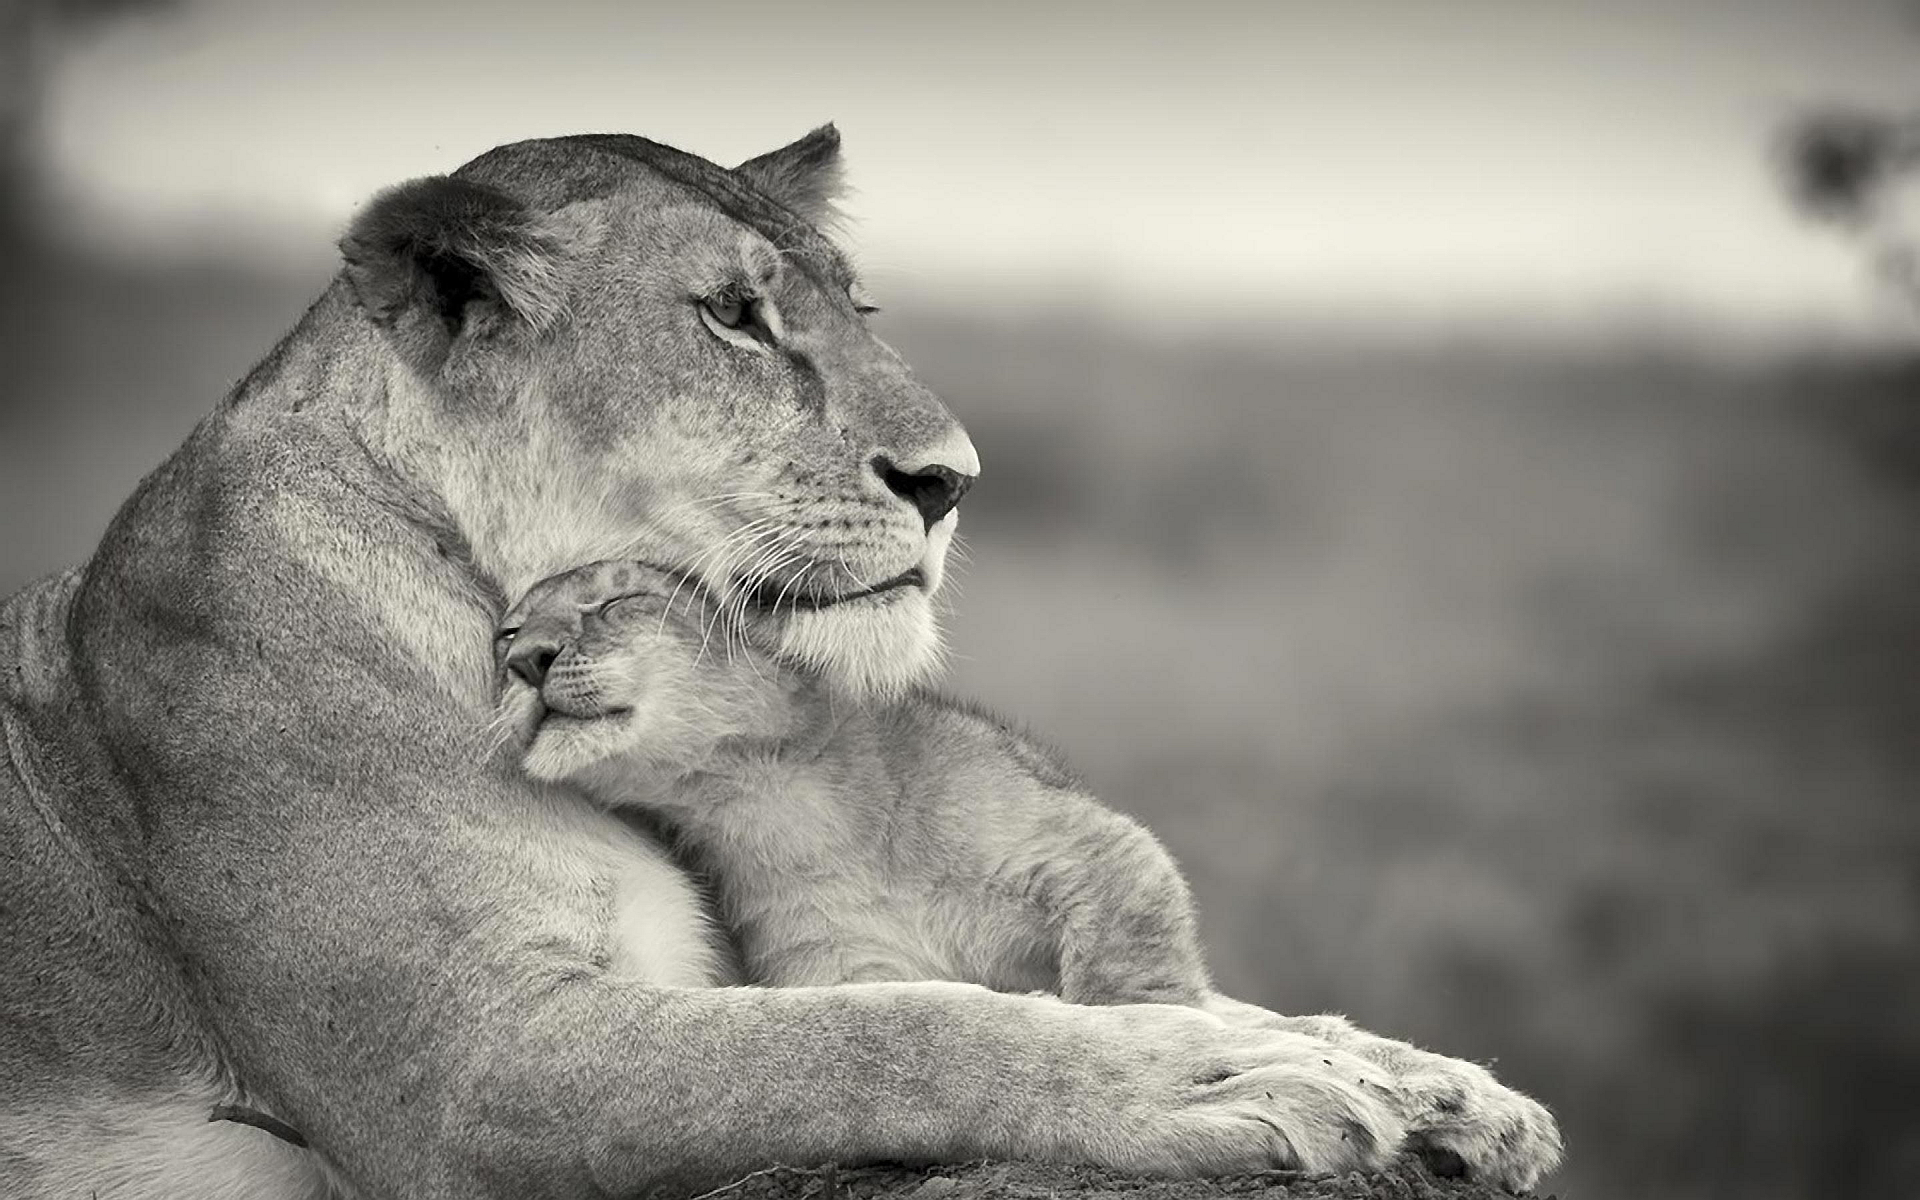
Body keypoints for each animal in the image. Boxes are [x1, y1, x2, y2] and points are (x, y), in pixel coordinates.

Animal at [0, 127, 1561, 1199]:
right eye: (733, 316)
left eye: (857, 314)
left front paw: (1435, 1086)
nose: (953, 481)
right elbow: (878, 1035)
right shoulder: (461, 1073)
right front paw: (1214, 1079)